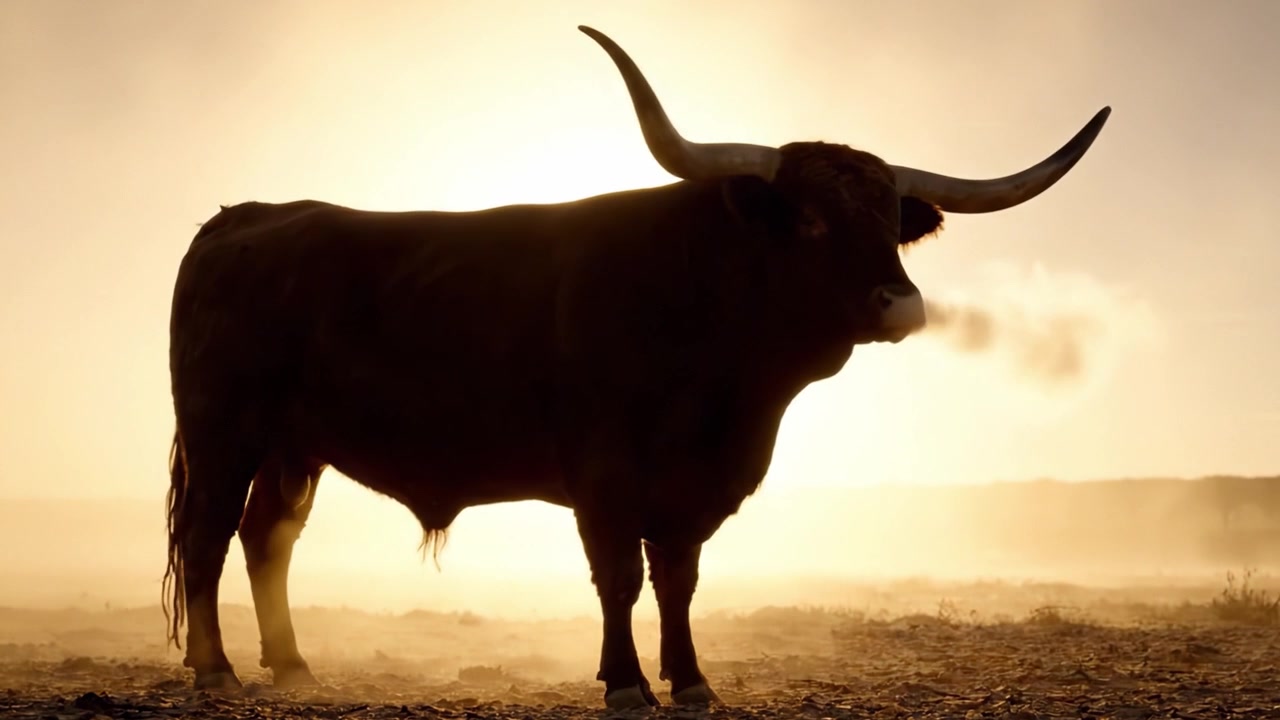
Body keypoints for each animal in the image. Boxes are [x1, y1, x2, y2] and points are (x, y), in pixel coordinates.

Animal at [161, 25, 1110, 709]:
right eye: (808, 221)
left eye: (888, 219)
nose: (901, 303)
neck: (728, 384)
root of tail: (242, 217)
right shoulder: (604, 476)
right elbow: (618, 578)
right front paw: (624, 681)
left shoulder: (696, 489)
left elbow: (679, 581)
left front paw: (690, 680)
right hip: (222, 431)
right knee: (209, 537)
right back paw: (216, 670)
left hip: (295, 445)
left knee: (267, 538)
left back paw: (292, 667)